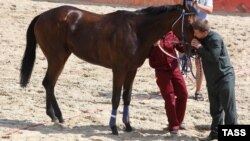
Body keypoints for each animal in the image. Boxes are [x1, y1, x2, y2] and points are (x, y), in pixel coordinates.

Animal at [20, 1, 195, 135]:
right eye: (190, 24)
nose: (194, 49)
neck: (136, 31)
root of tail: (42, 16)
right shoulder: (119, 70)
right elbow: (116, 98)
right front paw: (114, 127)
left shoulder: (132, 70)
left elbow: (127, 97)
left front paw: (128, 125)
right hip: (57, 58)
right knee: (48, 83)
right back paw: (56, 115)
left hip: (60, 57)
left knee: (49, 84)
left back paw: (55, 116)